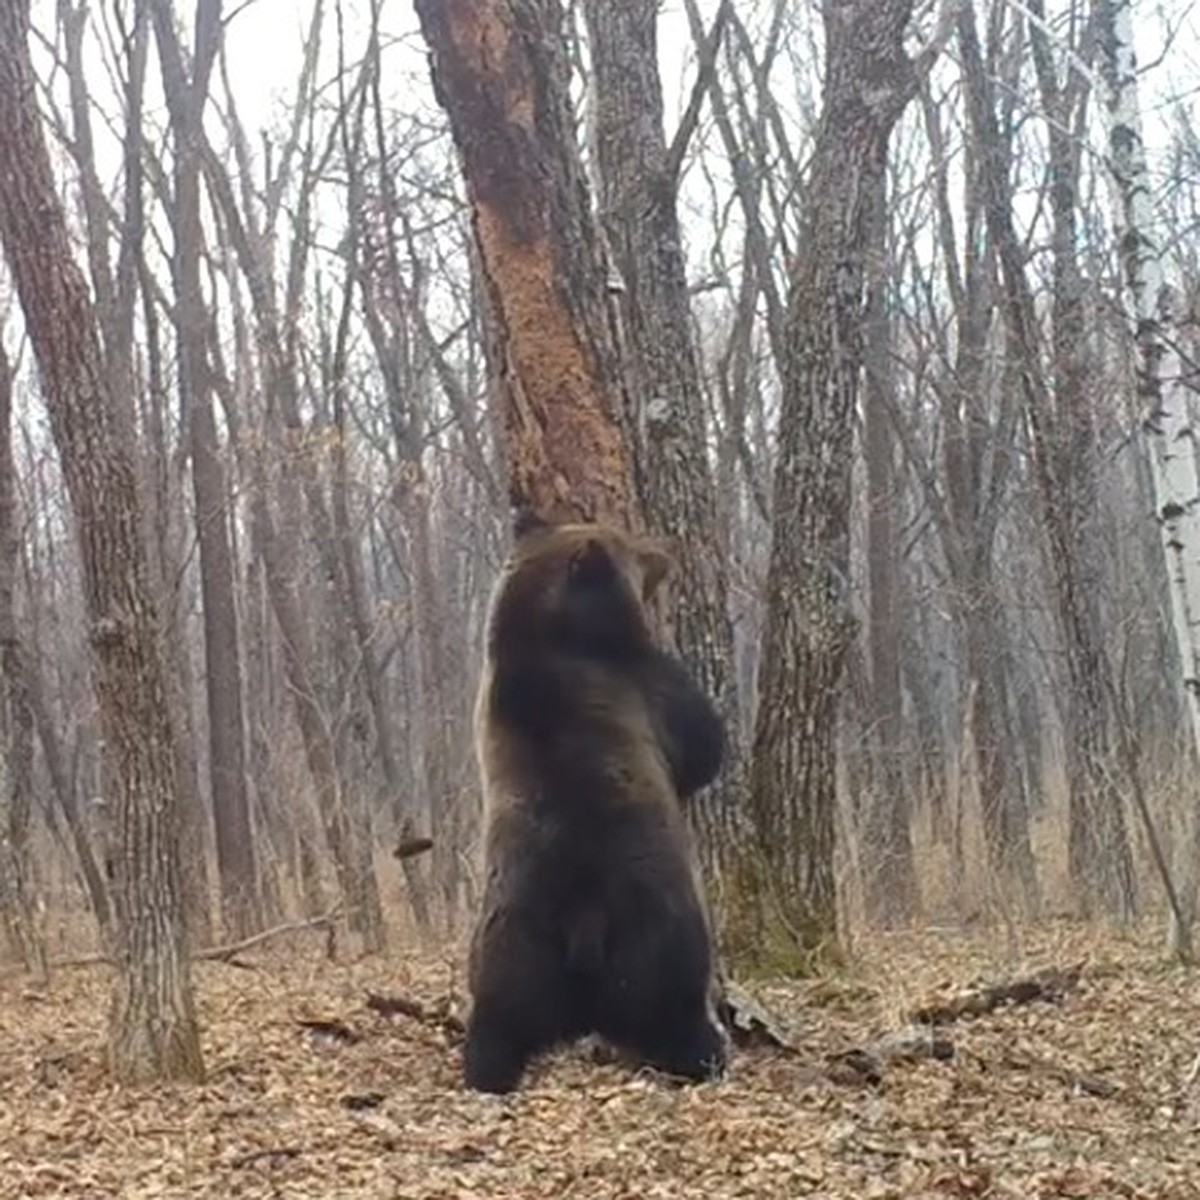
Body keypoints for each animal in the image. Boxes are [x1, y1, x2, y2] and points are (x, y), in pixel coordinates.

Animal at [463, 511, 724, 1094]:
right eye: (633, 547)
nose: (666, 547)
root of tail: (585, 921)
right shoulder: (640, 686)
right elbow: (701, 745)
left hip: (512, 946)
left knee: (498, 1019)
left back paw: (485, 1072)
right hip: (658, 932)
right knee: (674, 1002)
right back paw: (708, 1051)